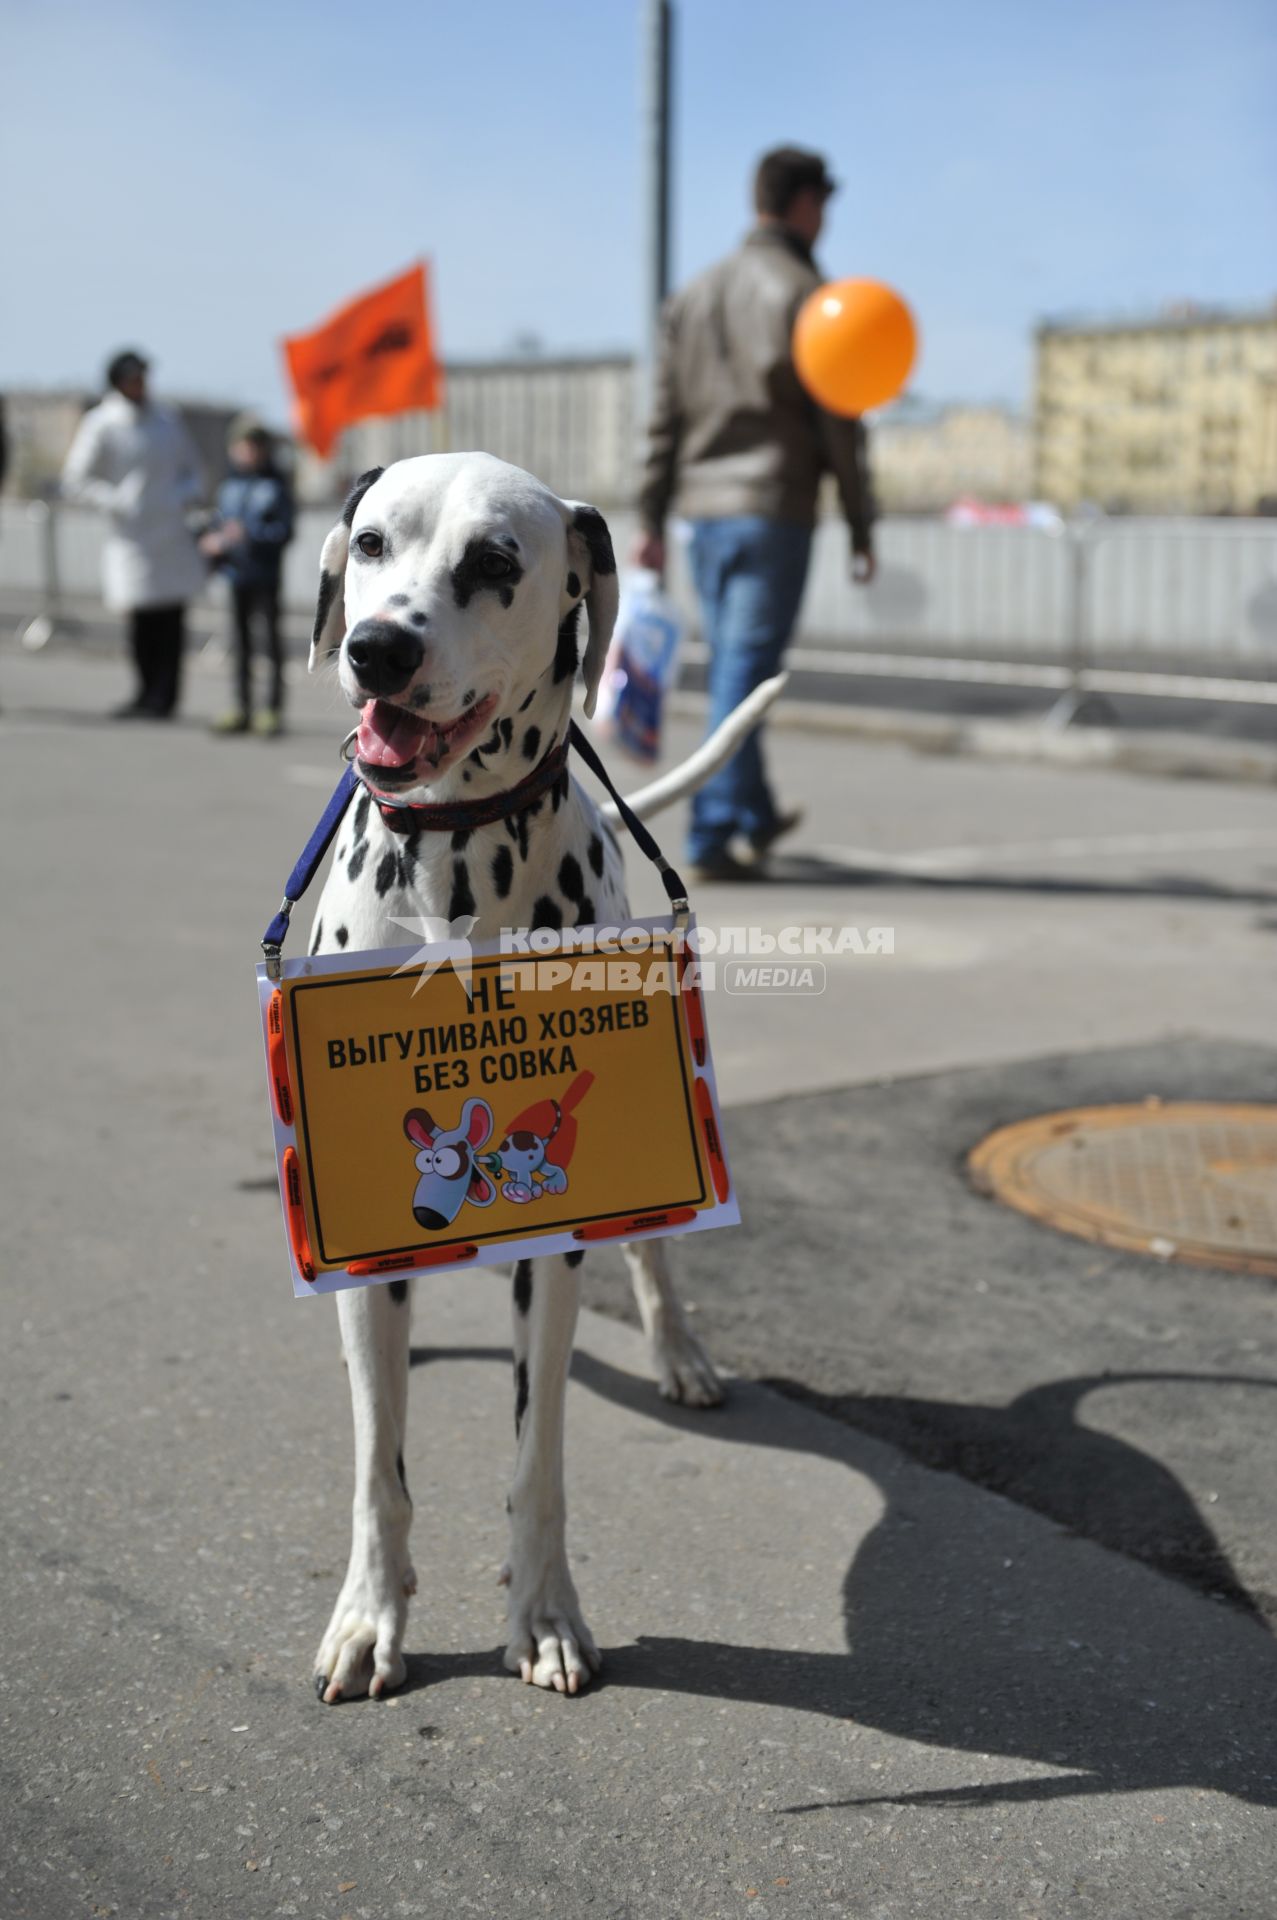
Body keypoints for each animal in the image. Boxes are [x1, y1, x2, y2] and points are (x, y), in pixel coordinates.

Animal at [307, 456, 725, 1704]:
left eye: (495, 562)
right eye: (372, 543)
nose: (375, 649)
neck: (456, 854)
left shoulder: (555, 1249)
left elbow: (537, 1463)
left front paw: (542, 1613)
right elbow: (377, 1468)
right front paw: (368, 1618)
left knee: (653, 1253)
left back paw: (677, 1352)